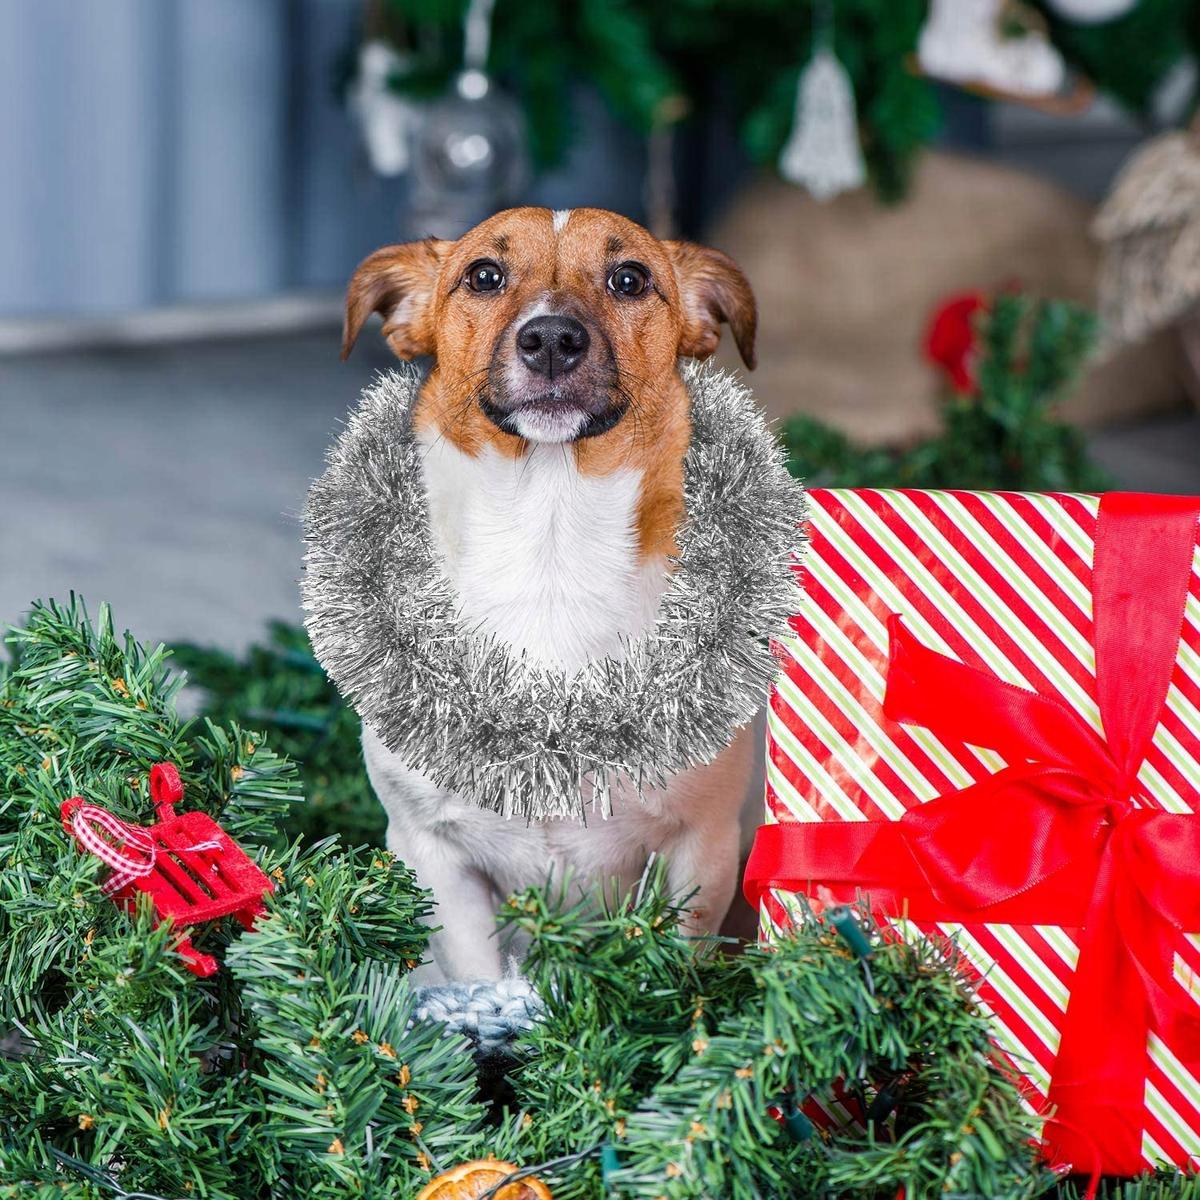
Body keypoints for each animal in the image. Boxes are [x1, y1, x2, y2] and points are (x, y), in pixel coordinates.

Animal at [338, 206, 753, 984]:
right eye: (484, 276)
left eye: (630, 279)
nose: (553, 339)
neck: (550, 546)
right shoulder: (433, 854)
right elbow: (478, 977)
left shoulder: (700, 848)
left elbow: (661, 984)